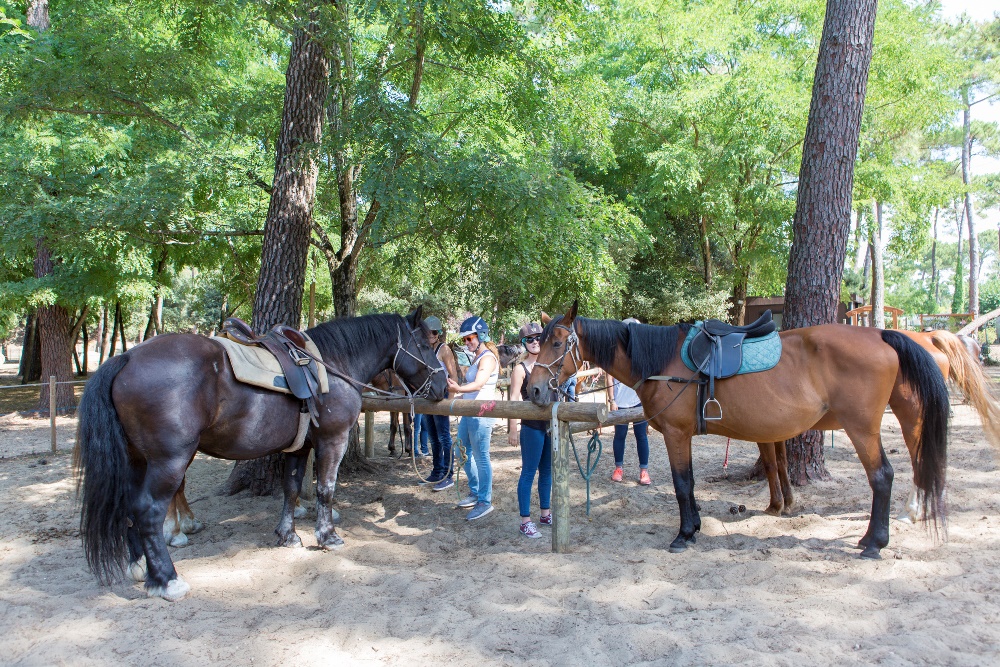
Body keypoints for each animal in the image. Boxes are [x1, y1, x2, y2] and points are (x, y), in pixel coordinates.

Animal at [79, 310, 450, 604]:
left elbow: (291, 488)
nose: (444, 387)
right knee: (148, 511)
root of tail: (126, 358)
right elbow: (325, 489)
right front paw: (327, 537)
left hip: (137, 460)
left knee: (129, 506)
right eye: (425, 346)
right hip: (169, 461)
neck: (332, 367)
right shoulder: (332, 440)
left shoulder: (300, 447)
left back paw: (139, 565)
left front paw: (288, 536)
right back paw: (167, 579)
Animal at [528, 302, 948, 560]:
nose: (532, 390)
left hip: (862, 429)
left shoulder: (676, 434)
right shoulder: (683, 436)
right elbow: (689, 484)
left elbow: (682, 484)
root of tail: (880, 334)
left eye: (556, 342)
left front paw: (684, 535)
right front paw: (694, 528)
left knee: (883, 476)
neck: (663, 360)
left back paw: (875, 543)